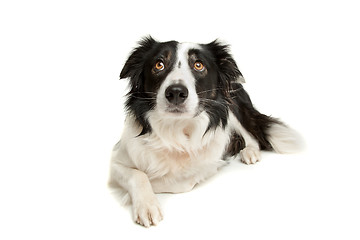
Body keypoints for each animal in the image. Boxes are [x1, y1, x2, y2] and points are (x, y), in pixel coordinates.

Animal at [108, 36, 302, 228]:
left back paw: (249, 152)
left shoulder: (207, 164)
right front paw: (147, 204)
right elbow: (138, 175)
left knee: (251, 136)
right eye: (159, 64)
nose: (176, 92)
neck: (176, 129)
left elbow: (176, 180)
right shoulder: (117, 158)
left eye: (198, 65)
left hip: (231, 107)